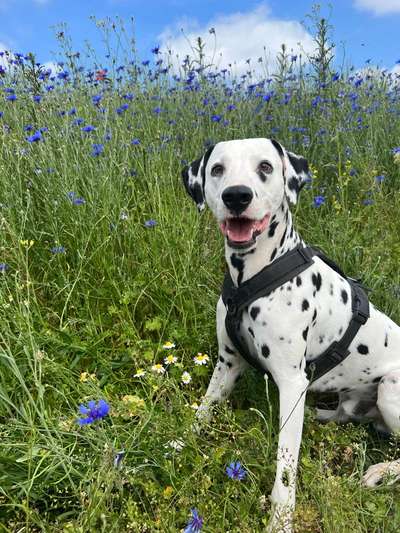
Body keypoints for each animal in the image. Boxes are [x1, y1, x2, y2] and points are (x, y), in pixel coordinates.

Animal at [183, 138, 400, 532]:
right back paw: (318, 415)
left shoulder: (291, 379)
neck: (252, 277)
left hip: (391, 387)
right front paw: (177, 443)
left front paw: (281, 519)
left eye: (266, 167)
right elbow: (203, 411)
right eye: (218, 169)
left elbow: (286, 464)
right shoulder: (227, 363)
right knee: (342, 414)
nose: (237, 196)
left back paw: (381, 471)